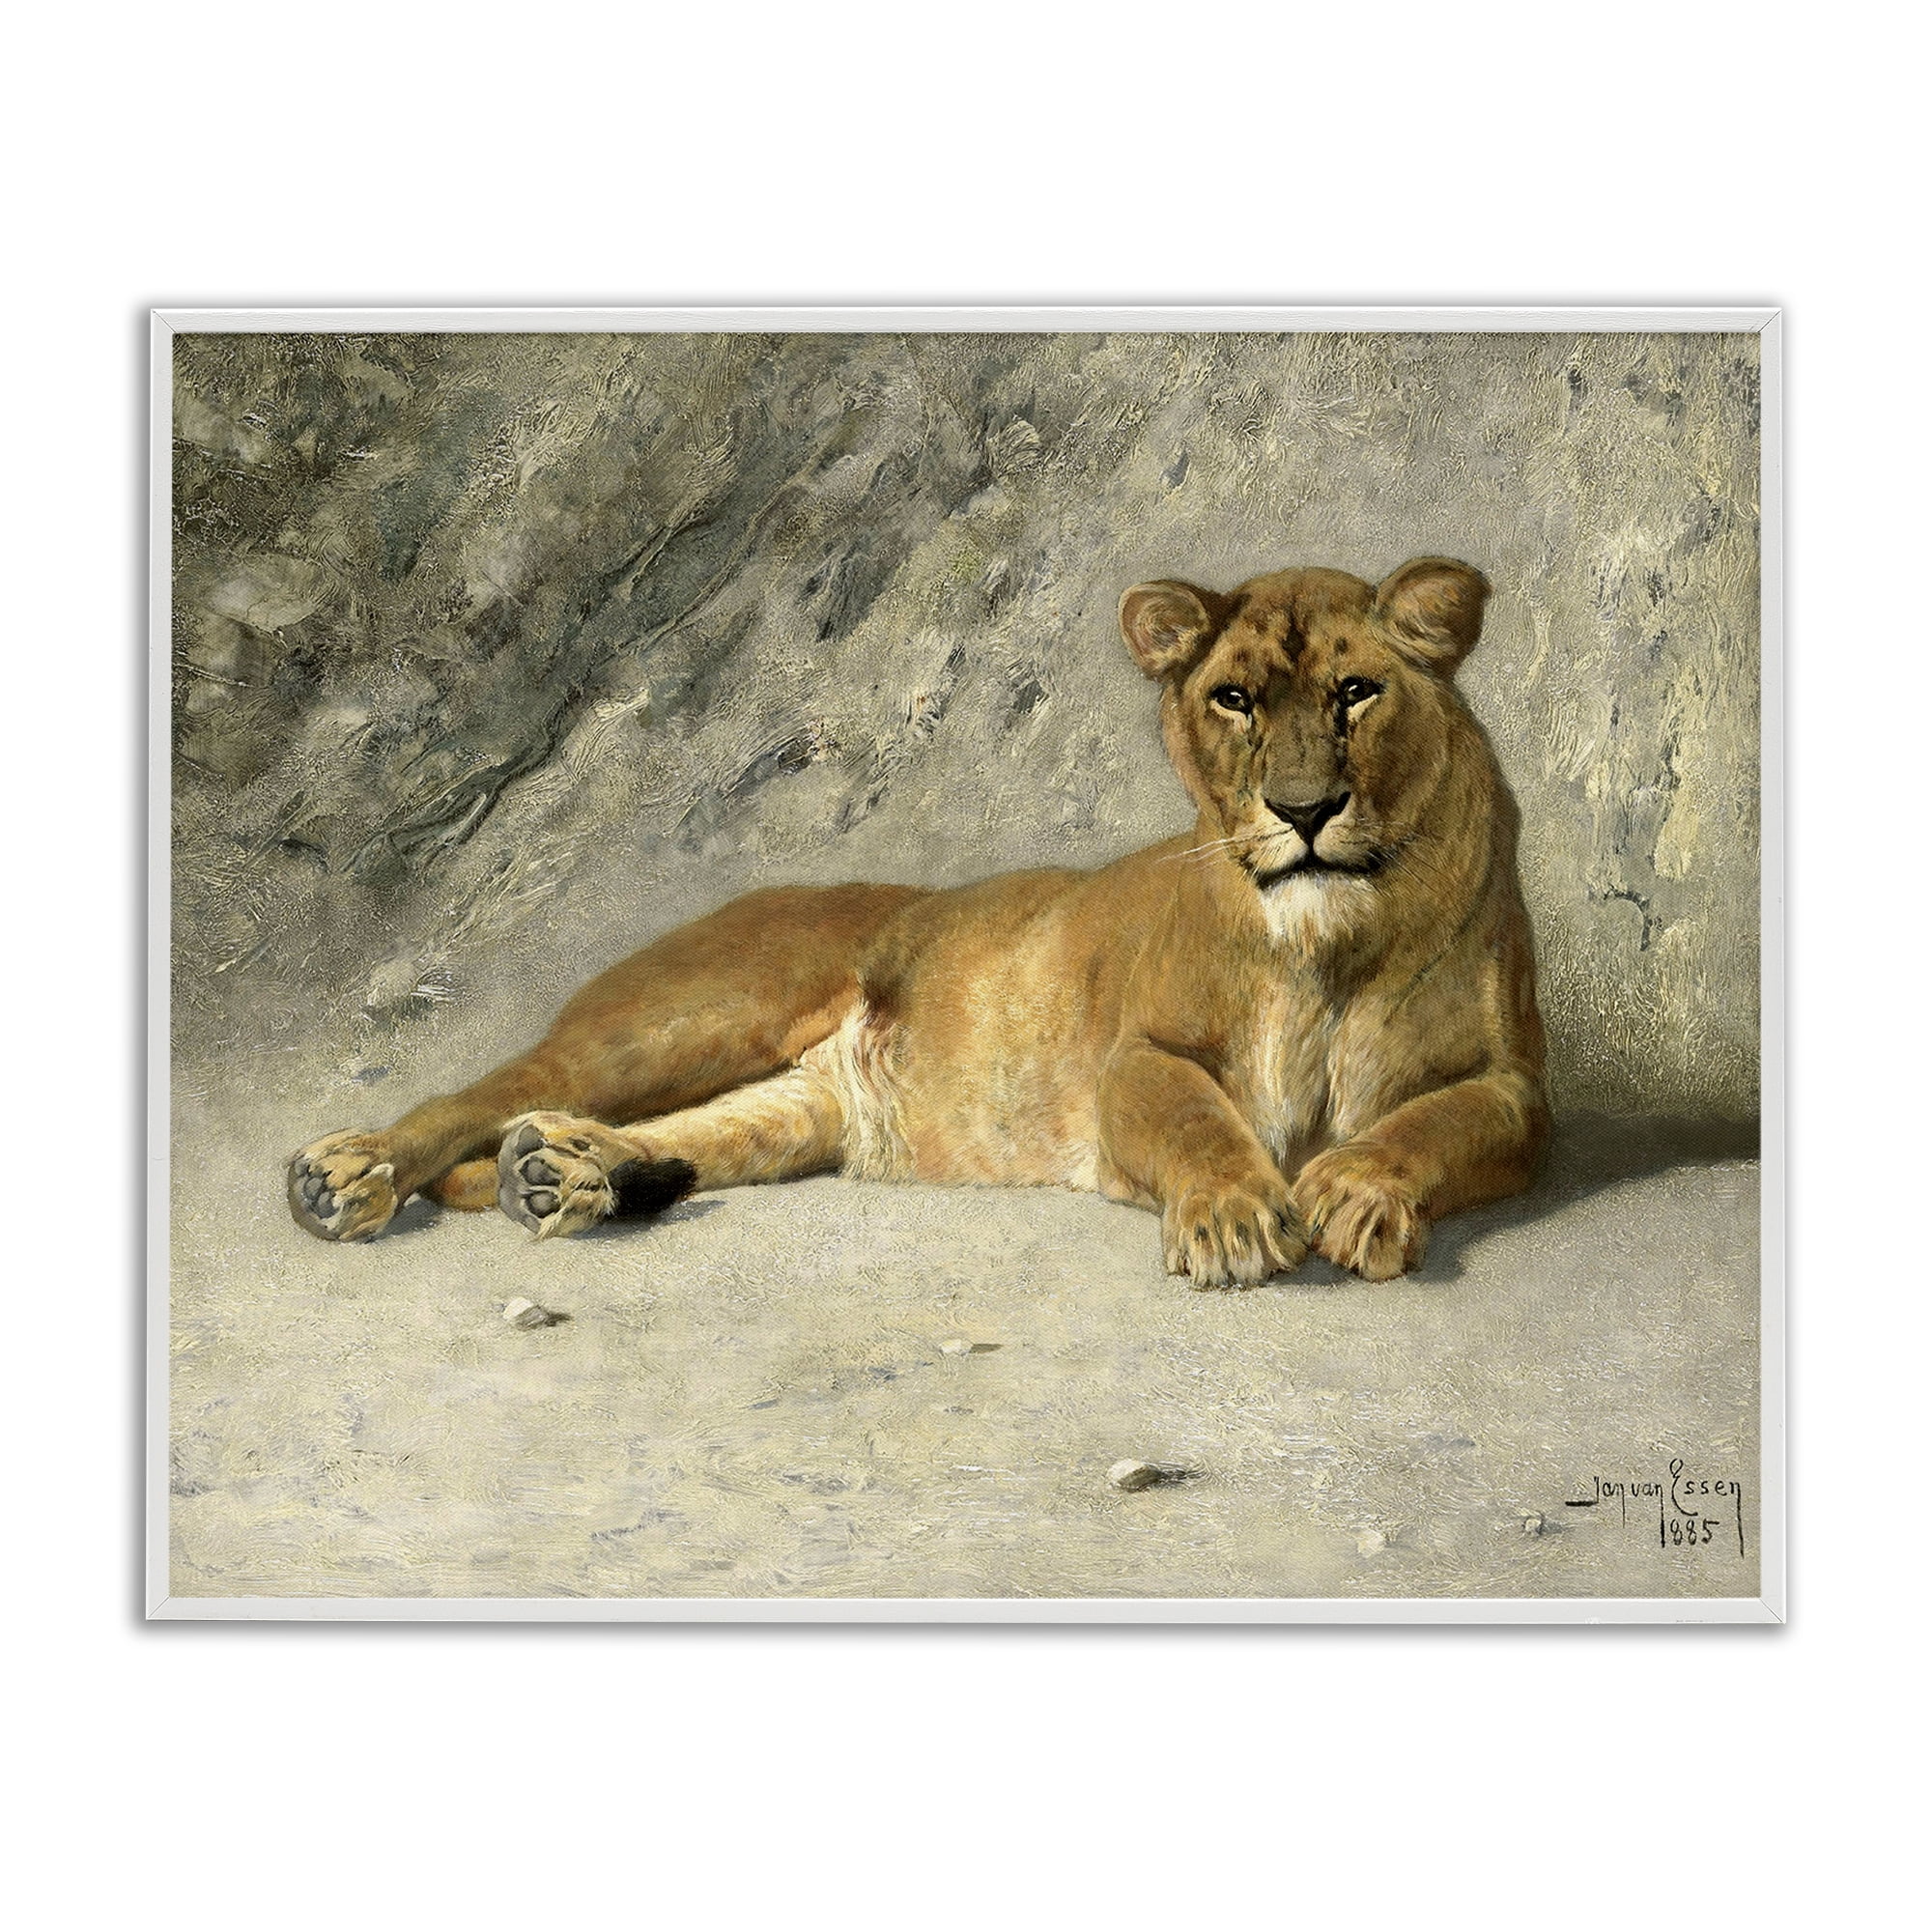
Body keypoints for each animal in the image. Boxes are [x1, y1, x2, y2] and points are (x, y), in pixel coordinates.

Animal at [287, 557, 1548, 1284]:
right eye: (1233, 698)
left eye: (1355, 692)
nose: (1302, 809)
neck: (1327, 942)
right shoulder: (1134, 1056)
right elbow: (1195, 1115)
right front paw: (1238, 1216)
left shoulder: (1515, 1089)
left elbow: (1432, 1124)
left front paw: (1357, 1188)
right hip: (685, 1016)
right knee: (490, 1092)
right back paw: (348, 1175)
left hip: (795, 1110)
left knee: (678, 1134)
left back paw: (565, 1175)